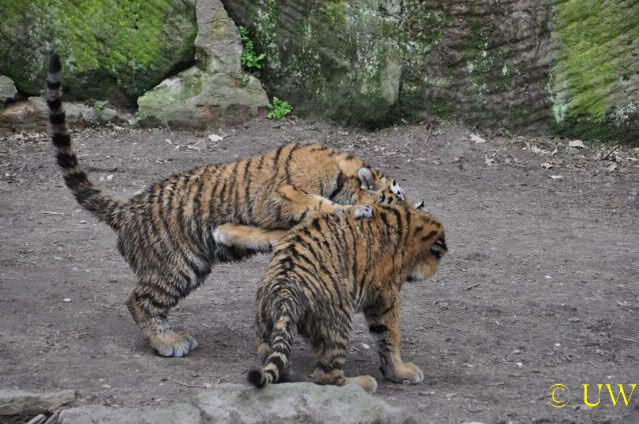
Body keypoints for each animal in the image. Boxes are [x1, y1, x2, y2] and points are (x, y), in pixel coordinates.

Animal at [45, 53, 408, 358]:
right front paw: (356, 210)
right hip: (175, 266)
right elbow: (318, 205)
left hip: (190, 266)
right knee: (139, 301)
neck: (342, 175)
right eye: (398, 197)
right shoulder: (284, 193)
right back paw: (168, 343)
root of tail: (126, 210)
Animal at [246, 200, 447, 393]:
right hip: (340, 319)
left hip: (266, 325)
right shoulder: (385, 296)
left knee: (271, 357)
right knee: (326, 376)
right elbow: (391, 335)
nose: (436, 270)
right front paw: (401, 371)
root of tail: (284, 288)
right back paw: (363, 383)